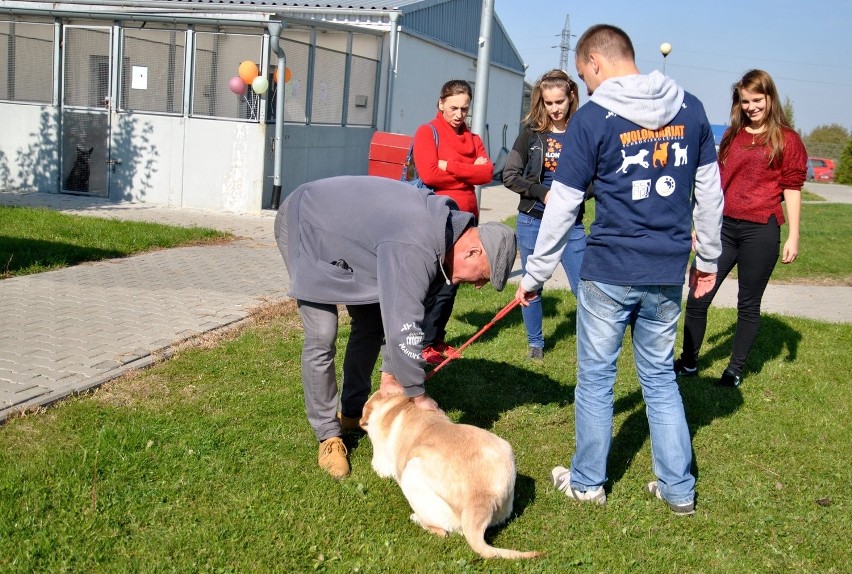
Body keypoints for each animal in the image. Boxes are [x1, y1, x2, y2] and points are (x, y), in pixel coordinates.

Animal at [360, 394, 540, 560]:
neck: (400, 404)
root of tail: (480, 498)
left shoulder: (381, 463)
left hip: (411, 473)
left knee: (441, 530)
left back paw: (416, 518)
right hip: (506, 452)